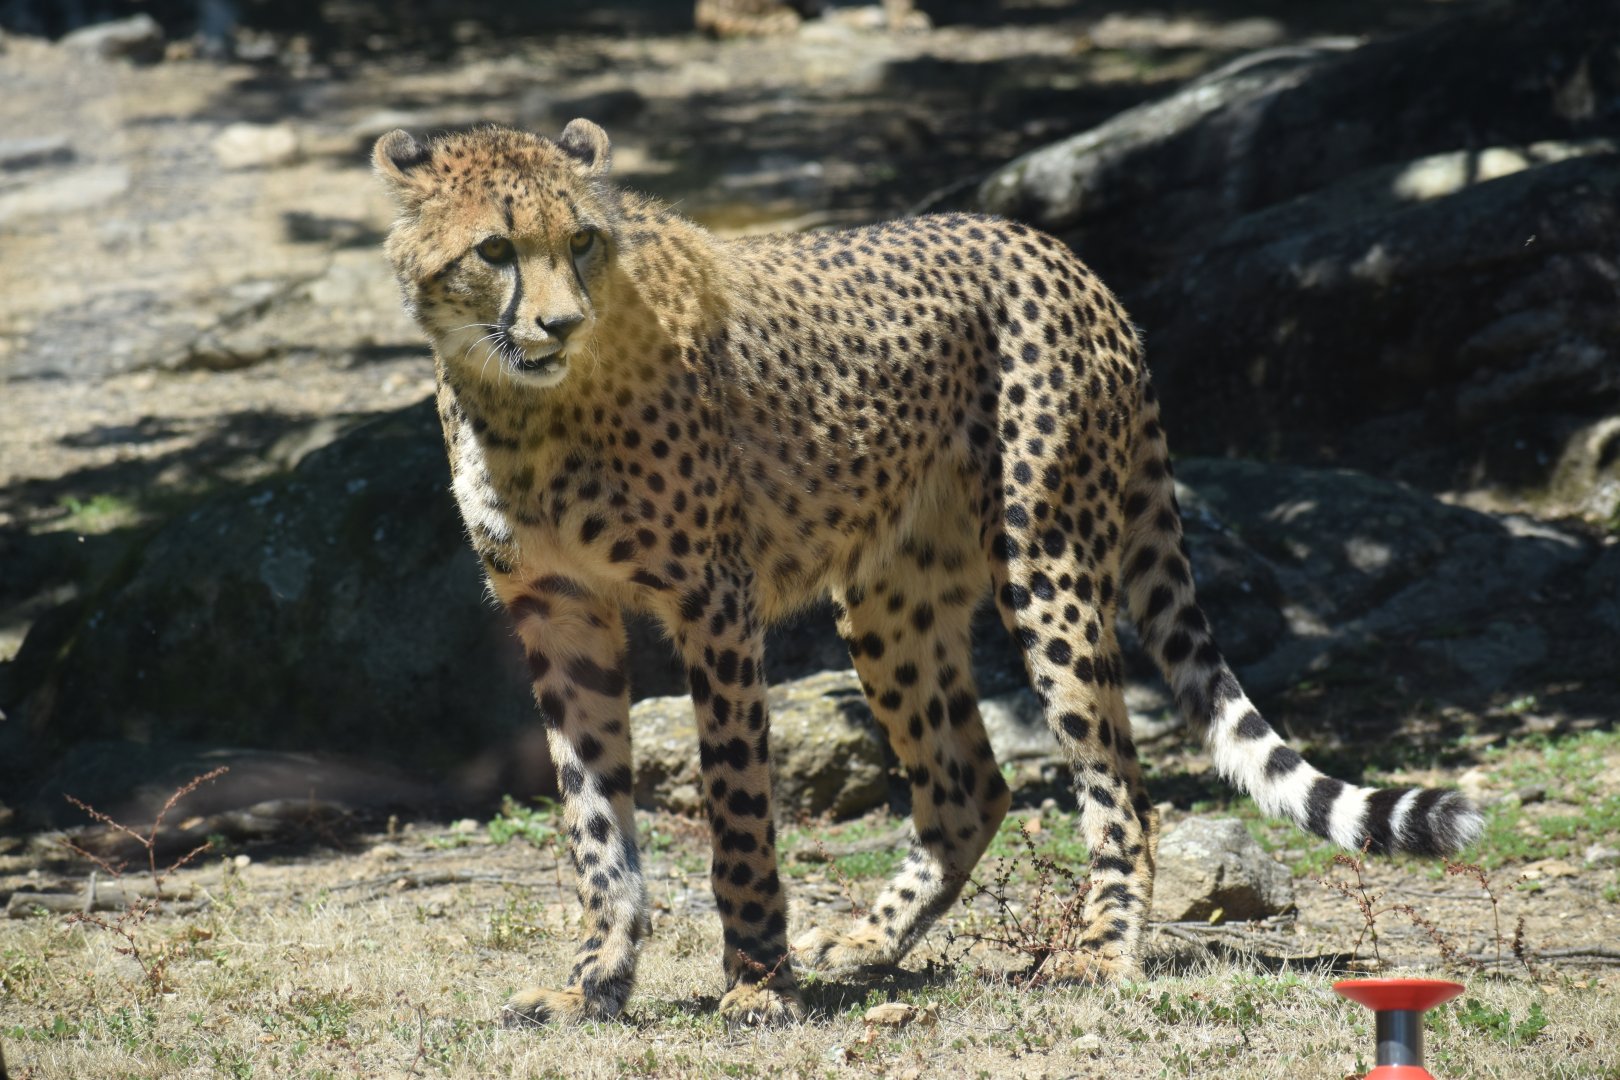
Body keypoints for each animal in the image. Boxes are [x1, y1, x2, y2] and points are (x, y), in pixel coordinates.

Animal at [373, 118, 1484, 1026]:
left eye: (584, 243)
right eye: (496, 250)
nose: (558, 324)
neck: (524, 406)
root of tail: (1058, 251)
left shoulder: (715, 604)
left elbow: (736, 808)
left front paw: (758, 986)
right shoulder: (558, 611)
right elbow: (594, 819)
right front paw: (595, 981)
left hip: (1047, 562)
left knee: (1120, 783)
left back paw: (1098, 952)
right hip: (889, 595)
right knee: (969, 782)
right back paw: (874, 937)